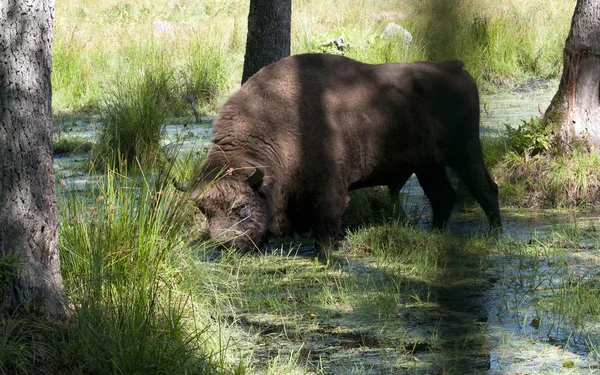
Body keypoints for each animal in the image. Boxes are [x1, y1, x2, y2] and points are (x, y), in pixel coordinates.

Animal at [173, 53, 502, 251]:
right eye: (204, 211)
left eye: (241, 207)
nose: (224, 244)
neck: (277, 123)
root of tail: (453, 67)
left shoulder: (329, 190)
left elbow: (327, 223)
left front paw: (328, 252)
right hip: (427, 166)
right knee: (443, 196)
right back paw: (435, 233)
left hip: (465, 151)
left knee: (486, 188)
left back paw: (495, 234)